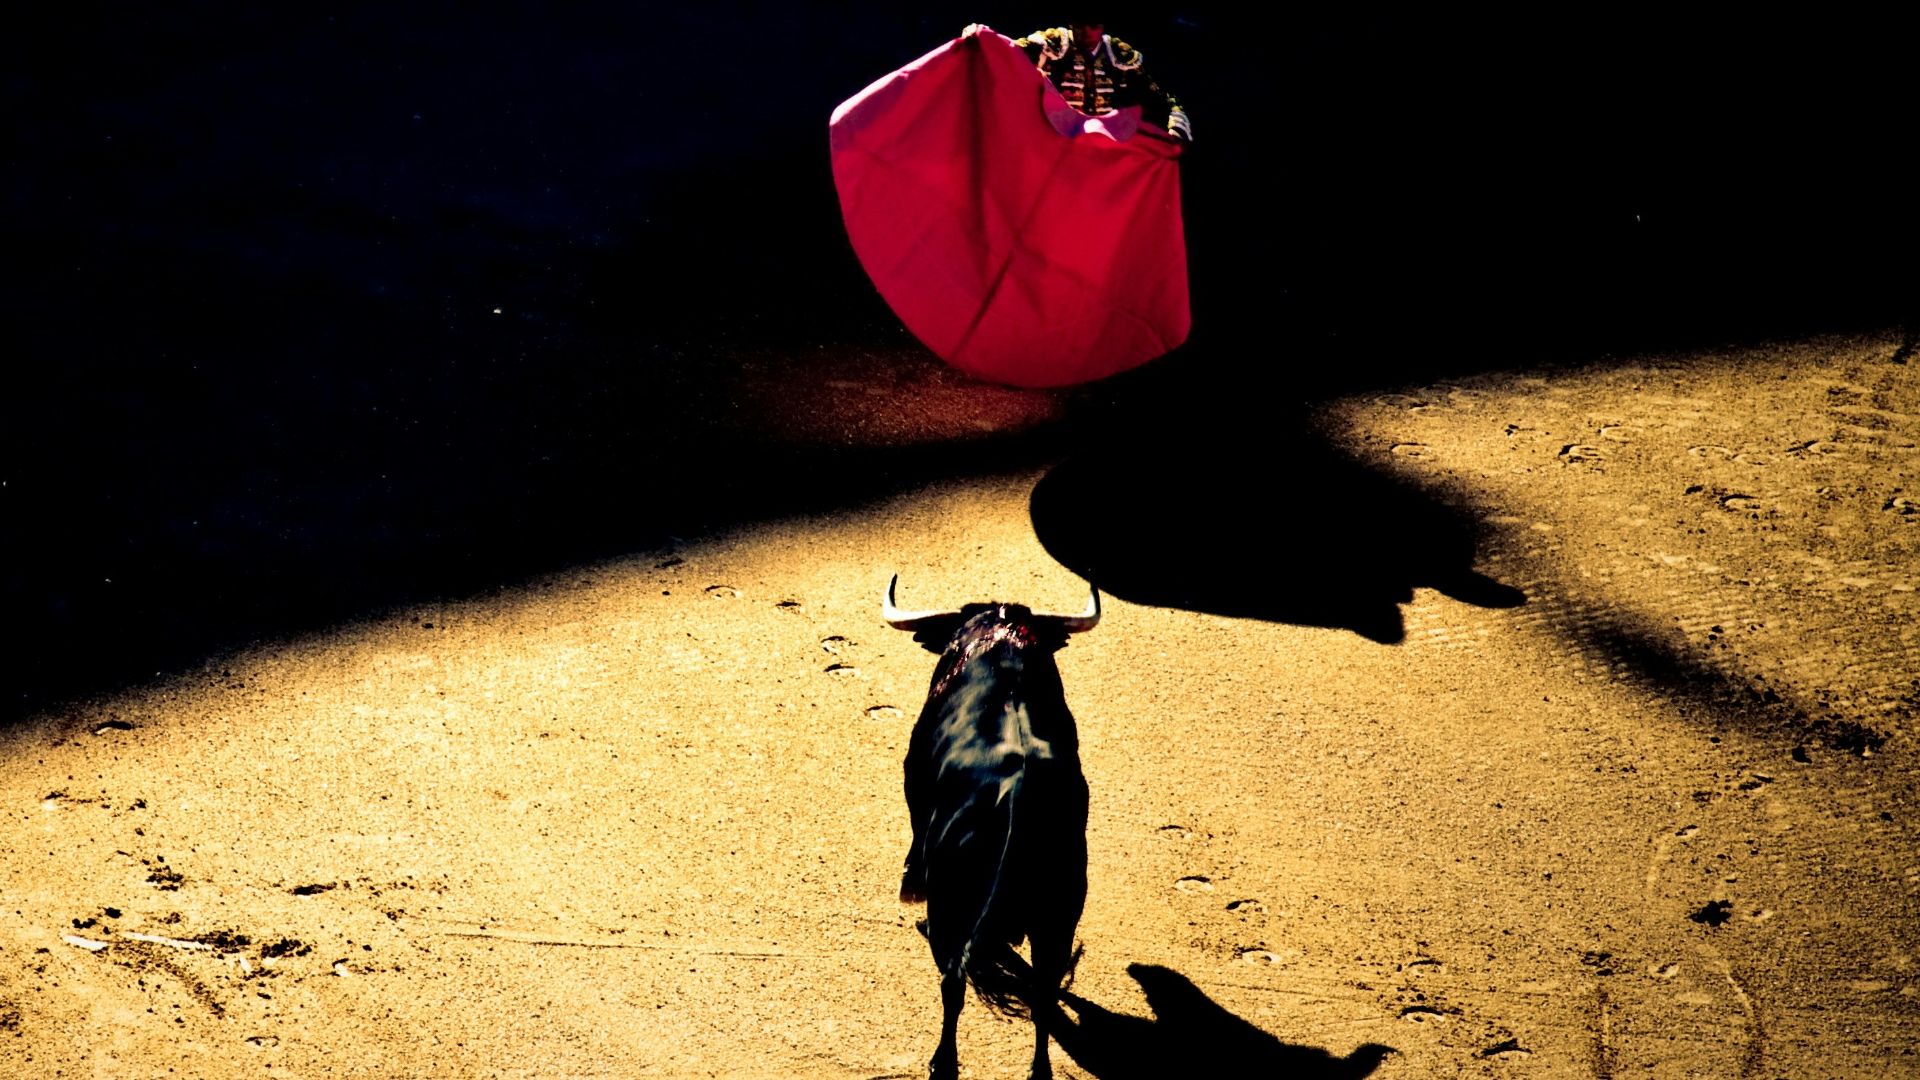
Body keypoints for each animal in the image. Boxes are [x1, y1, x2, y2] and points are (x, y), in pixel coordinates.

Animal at [883, 574, 1100, 1080]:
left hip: (954, 907)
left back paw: (943, 1062)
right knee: (1043, 994)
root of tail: (1020, 795)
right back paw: (1039, 1071)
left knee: (953, 983)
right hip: (1059, 915)